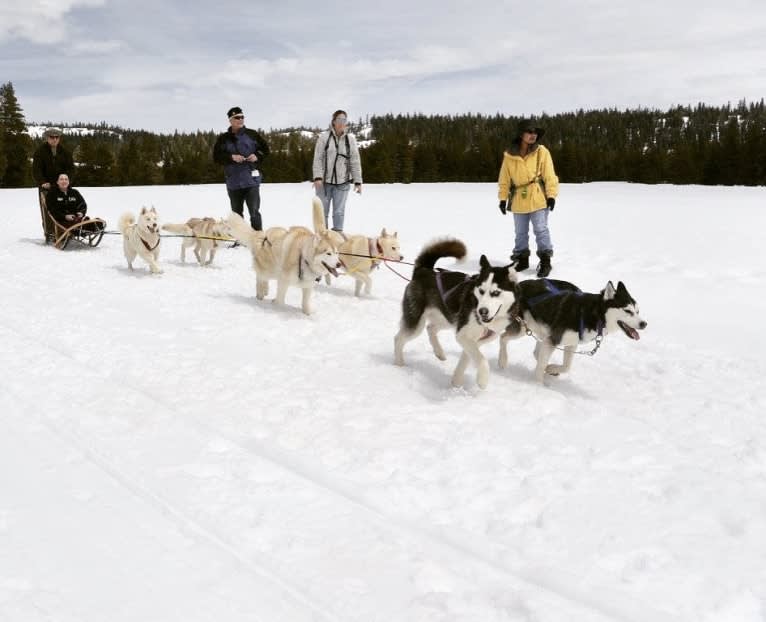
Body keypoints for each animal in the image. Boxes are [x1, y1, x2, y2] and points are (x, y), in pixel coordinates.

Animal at [396, 239, 520, 390]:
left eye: (496, 293)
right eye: (481, 291)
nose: (482, 311)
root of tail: (424, 271)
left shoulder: (473, 339)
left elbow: (466, 359)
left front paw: (456, 381)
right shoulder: (463, 335)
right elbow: (482, 360)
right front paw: (482, 380)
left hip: (448, 318)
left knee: (431, 328)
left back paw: (439, 352)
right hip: (417, 322)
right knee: (398, 338)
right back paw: (398, 363)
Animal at [498, 280, 648, 386]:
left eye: (637, 311)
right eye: (628, 311)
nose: (644, 324)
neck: (593, 313)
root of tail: (519, 285)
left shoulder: (570, 344)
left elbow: (566, 367)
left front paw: (551, 368)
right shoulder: (554, 340)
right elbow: (541, 368)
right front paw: (538, 386)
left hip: (542, 333)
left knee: (536, 352)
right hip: (522, 327)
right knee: (503, 337)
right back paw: (502, 361)